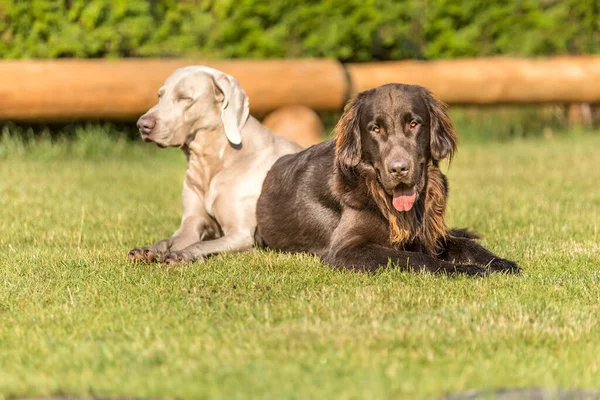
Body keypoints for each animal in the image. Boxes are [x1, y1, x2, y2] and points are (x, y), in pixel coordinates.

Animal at [256, 83, 520, 276]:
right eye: (375, 129)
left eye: (413, 123)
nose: (399, 169)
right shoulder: (346, 249)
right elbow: (416, 258)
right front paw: (467, 270)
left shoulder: (430, 233)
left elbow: (467, 245)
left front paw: (500, 262)